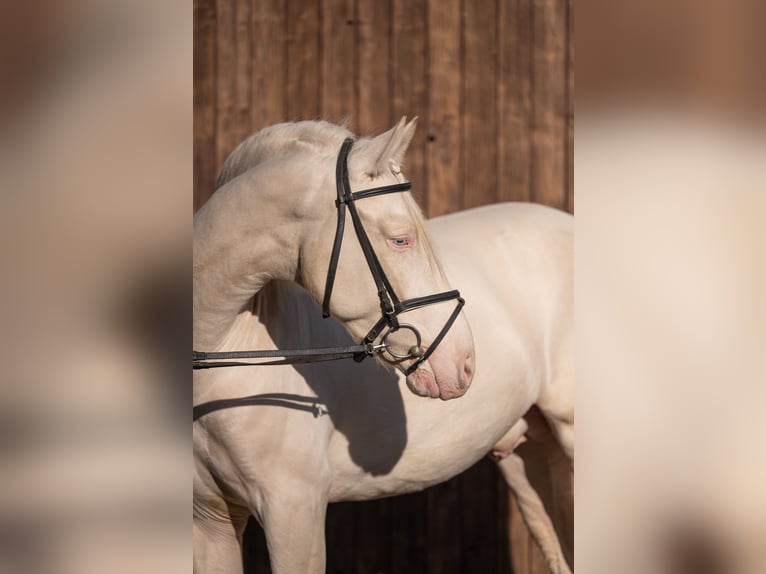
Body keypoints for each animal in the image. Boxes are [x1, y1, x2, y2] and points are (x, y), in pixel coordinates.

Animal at [195, 119, 572, 572]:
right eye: (401, 240)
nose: (462, 363)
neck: (229, 347)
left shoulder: (294, 510)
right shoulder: (213, 520)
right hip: (529, 458)